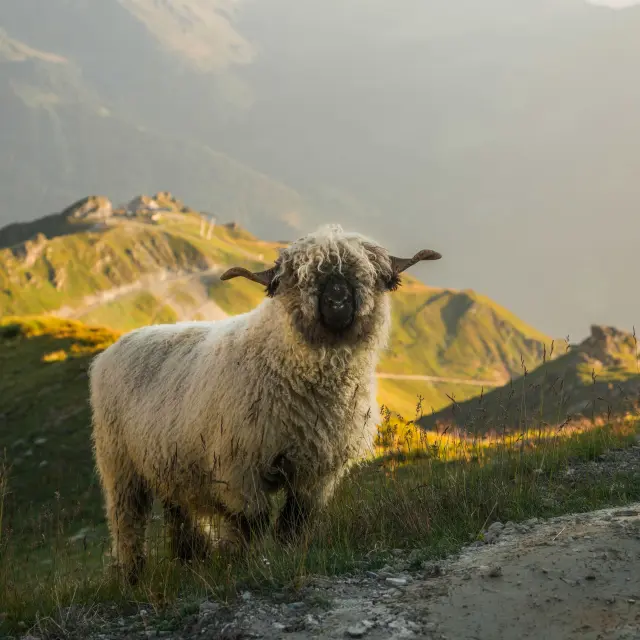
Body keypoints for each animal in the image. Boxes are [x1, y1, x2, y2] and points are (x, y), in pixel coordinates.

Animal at [89, 224, 441, 582]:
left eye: (370, 275)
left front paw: (289, 555)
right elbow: (253, 522)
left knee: (180, 513)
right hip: (120, 465)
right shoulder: (240, 468)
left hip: (171, 463)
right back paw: (132, 576)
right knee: (127, 523)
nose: (338, 302)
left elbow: (295, 521)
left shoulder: (316, 472)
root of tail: (114, 347)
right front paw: (251, 563)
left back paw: (191, 561)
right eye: (299, 278)